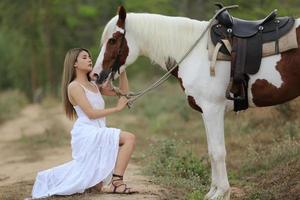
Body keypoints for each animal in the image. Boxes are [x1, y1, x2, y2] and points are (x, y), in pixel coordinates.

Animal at [91, 5, 300, 199]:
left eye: (113, 40)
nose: (95, 75)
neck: (195, 53)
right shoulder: (206, 112)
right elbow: (211, 151)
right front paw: (213, 192)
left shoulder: (213, 109)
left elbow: (218, 151)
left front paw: (221, 193)